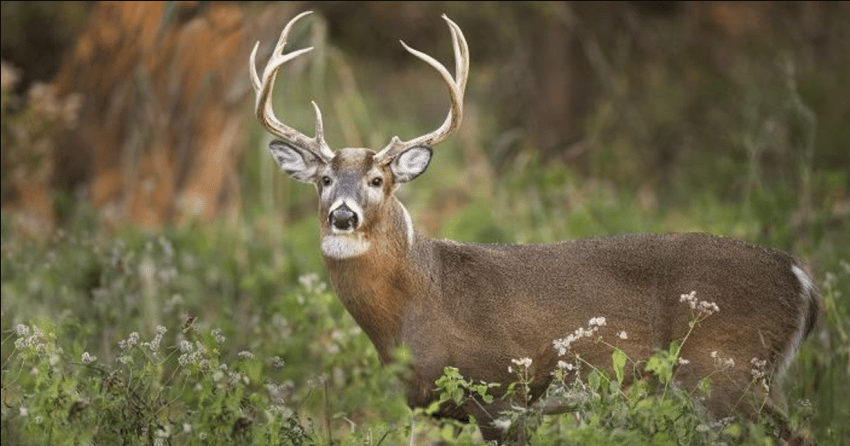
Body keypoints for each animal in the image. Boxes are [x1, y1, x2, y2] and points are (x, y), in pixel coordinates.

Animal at [250, 11, 820, 444]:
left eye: (377, 179)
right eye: (324, 179)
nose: (343, 215)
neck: (420, 300)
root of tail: (800, 277)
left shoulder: (505, 393)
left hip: (727, 370)